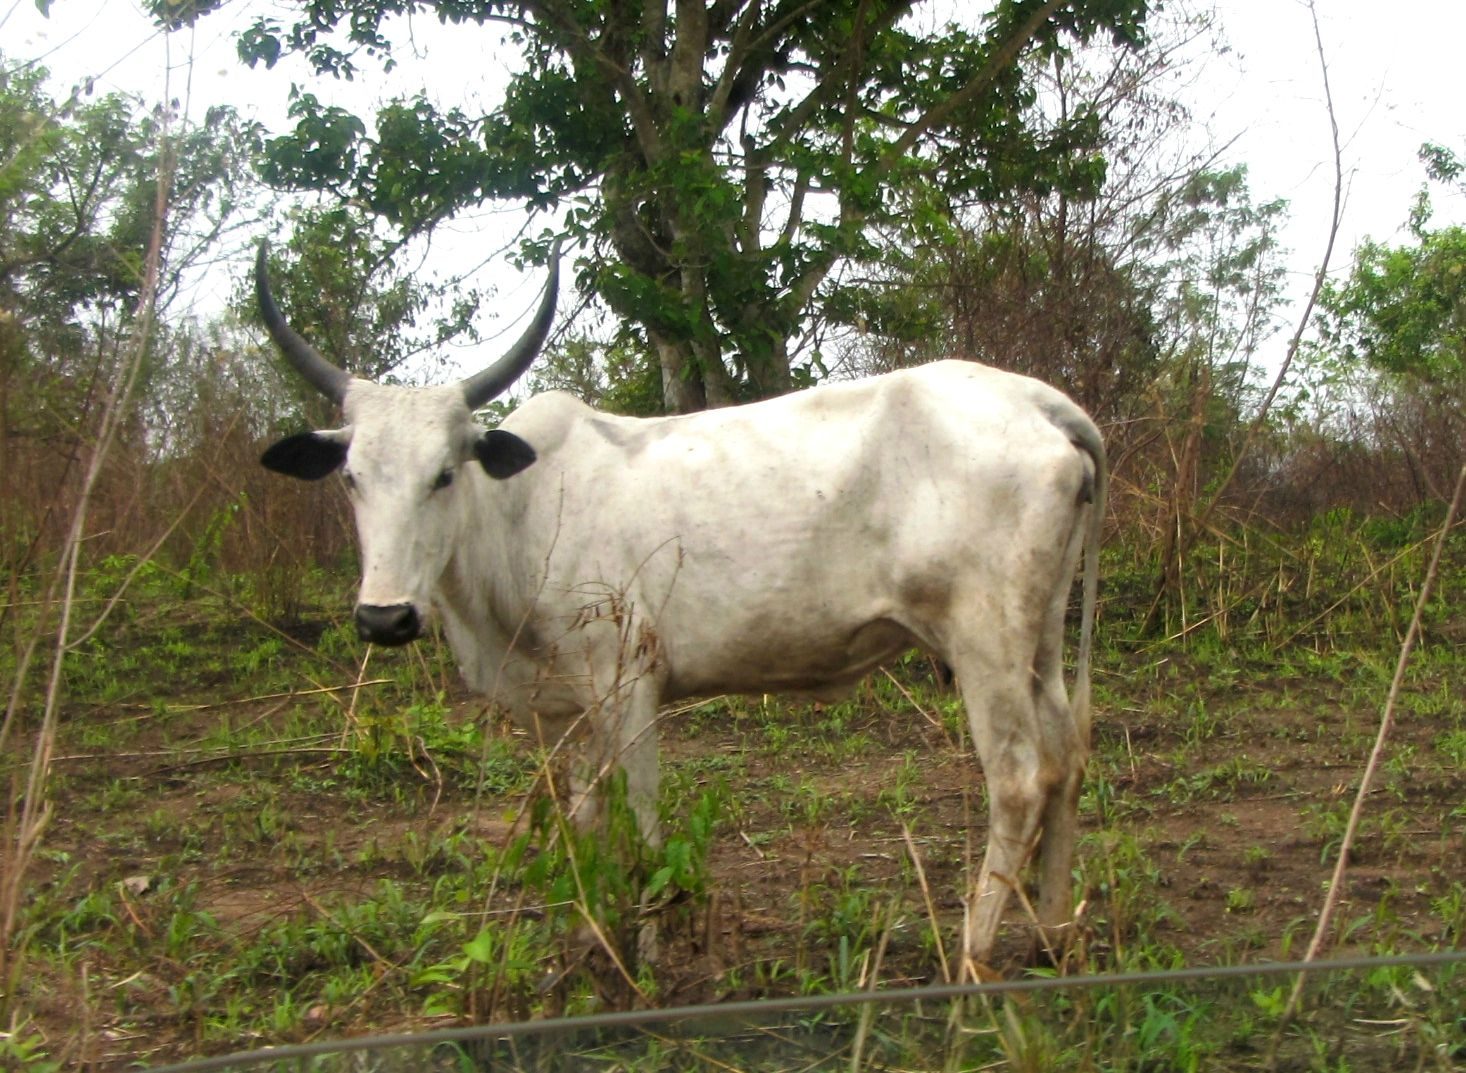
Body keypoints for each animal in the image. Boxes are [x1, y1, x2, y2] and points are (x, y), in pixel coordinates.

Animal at [255, 244, 1102, 973]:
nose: (385, 617)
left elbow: (641, 814)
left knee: (1020, 778)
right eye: (352, 477)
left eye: (443, 473)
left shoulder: (627, 685)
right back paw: (1055, 933)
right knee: (1067, 756)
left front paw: (650, 951)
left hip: (985, 642)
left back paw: (973, 954)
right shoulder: (569, 711)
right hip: (1040, 639)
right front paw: (588, 939)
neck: (520, 508)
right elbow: (585, 814)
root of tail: (1039, 399)